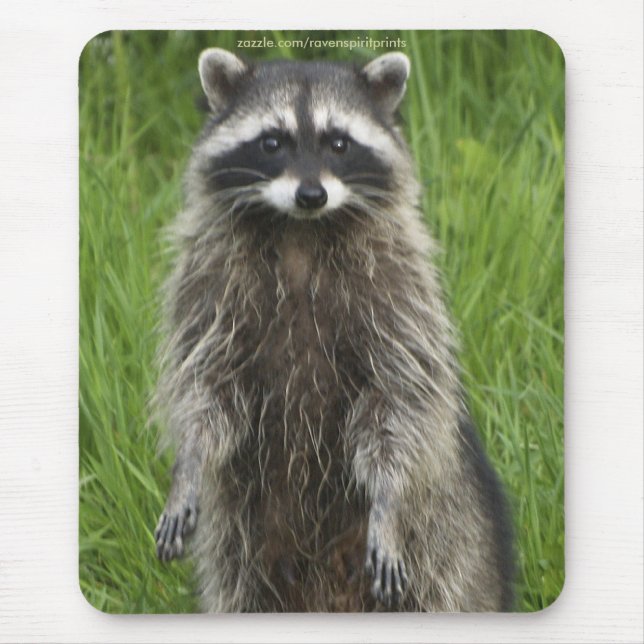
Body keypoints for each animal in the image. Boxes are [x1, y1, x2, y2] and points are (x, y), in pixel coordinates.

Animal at [153, 48, 514, 612]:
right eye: (272, 141)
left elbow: (399, 403)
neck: (301, 232)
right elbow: (205, 389)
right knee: (239, 584)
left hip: (450, 539)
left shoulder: (398, 293)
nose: (311, 194)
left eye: (339, 142)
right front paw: (188, 465)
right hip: (241, 537)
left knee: (442, 583)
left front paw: (387, 500)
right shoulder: (210, 288)